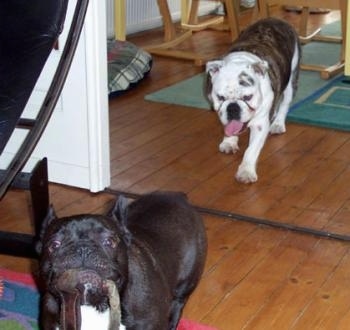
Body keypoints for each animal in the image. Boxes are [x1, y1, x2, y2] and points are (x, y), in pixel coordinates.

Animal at [36, 191, 206, 330]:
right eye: (54, 245)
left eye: (109, 241)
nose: (83, 248)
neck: (91, 305)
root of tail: (179, 197)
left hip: (184, 285)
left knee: (177, 303)